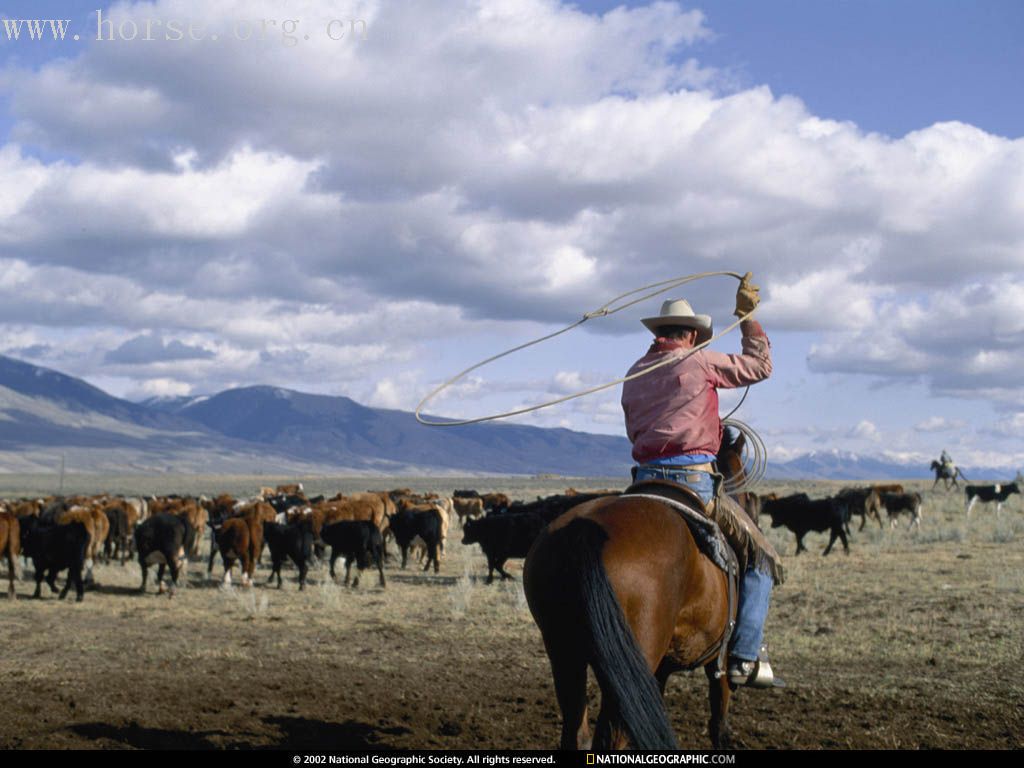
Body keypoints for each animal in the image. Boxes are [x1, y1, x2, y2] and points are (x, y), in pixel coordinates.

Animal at [524, 434, 749, 753]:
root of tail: (583, 529)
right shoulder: (720, 656)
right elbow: (719, 712)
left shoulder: (657, 672)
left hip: (565, 651)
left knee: (575, 731)